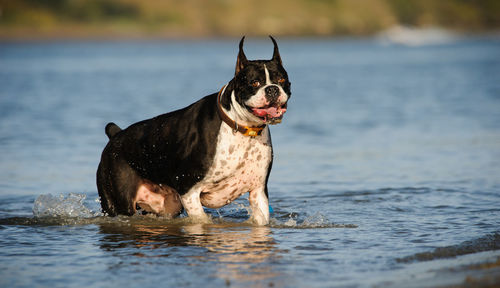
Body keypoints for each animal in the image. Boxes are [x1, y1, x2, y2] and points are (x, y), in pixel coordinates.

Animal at [96, 36, 292, 225]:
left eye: (281, 80)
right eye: (255, 82)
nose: (272, 89)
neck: (241, 127)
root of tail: (116, 135)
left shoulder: (258, 192)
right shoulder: (189, 192)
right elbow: (201, 220)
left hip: (167, 206)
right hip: (118, 205)